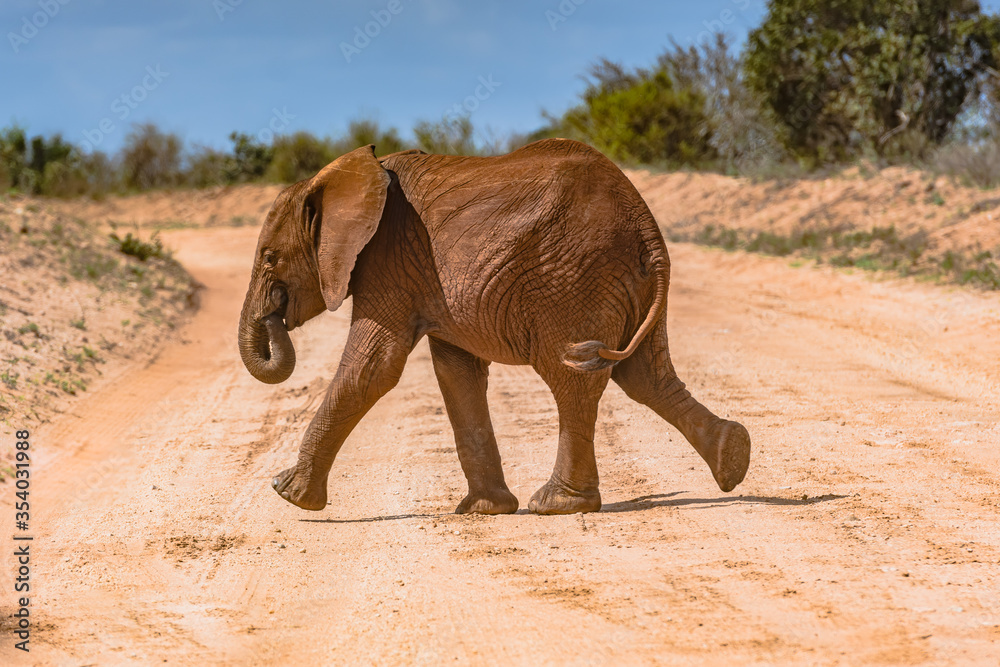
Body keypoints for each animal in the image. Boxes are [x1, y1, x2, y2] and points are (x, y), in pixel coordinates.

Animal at [238, 139, 751, 515]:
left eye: (270, 258)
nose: (276, 314)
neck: (342, 177)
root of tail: (645, 221)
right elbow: (455, 371)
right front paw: (485, 510)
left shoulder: (387, 259)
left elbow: (375, 365)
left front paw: (288, 494)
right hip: (626, 281)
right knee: (647, 375)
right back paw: (733, 458)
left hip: (572, 279)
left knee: (574, 376)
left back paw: (558, 505)